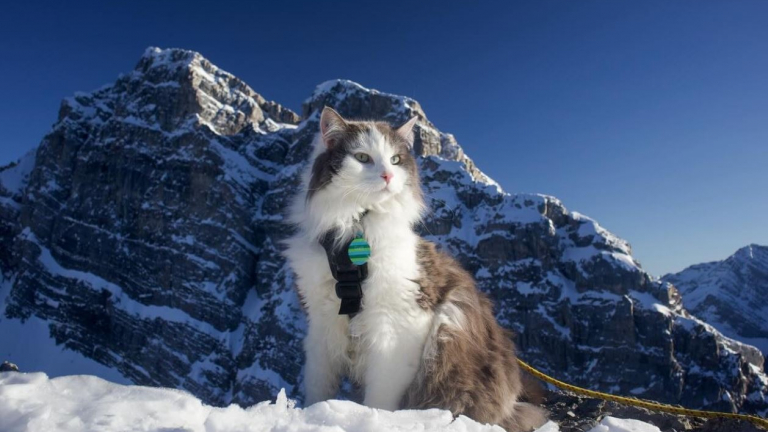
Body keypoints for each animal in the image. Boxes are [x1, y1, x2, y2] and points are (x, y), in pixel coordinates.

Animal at [284, 106, 548, 430]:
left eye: (396, 160)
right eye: (362, 158)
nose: (387, 175)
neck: (354, 234)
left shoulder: (400, 325)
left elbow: (380, 396)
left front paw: (374, 420)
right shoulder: (322, 322)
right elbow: (318, 385)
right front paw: (312, 415)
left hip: (450, 327)